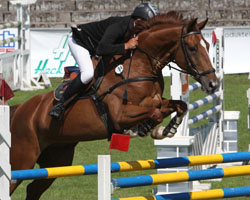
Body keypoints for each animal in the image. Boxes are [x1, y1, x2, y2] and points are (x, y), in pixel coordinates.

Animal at [9, 11, 219, 199]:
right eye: (192, 48)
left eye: (208, 45)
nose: (213, 84)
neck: (140, 65)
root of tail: (18, 110)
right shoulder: (120, 115)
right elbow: (155, 114)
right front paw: (140, 129)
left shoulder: (157, 101)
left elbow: (179, 105)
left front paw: (167, 130)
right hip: (22, 160)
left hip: (58, 159)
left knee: (33, 189)